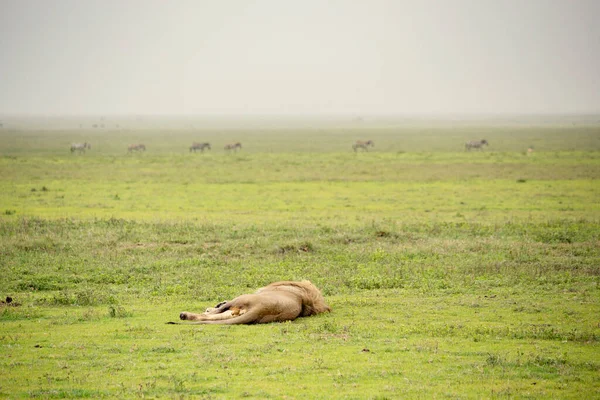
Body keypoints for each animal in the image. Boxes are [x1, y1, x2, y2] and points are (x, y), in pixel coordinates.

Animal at [170, 282, 332, 324]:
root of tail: (261, 309)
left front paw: (212, 306)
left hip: (241, 297)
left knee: (213, 314)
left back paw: (185, 315)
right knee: (218, 316)